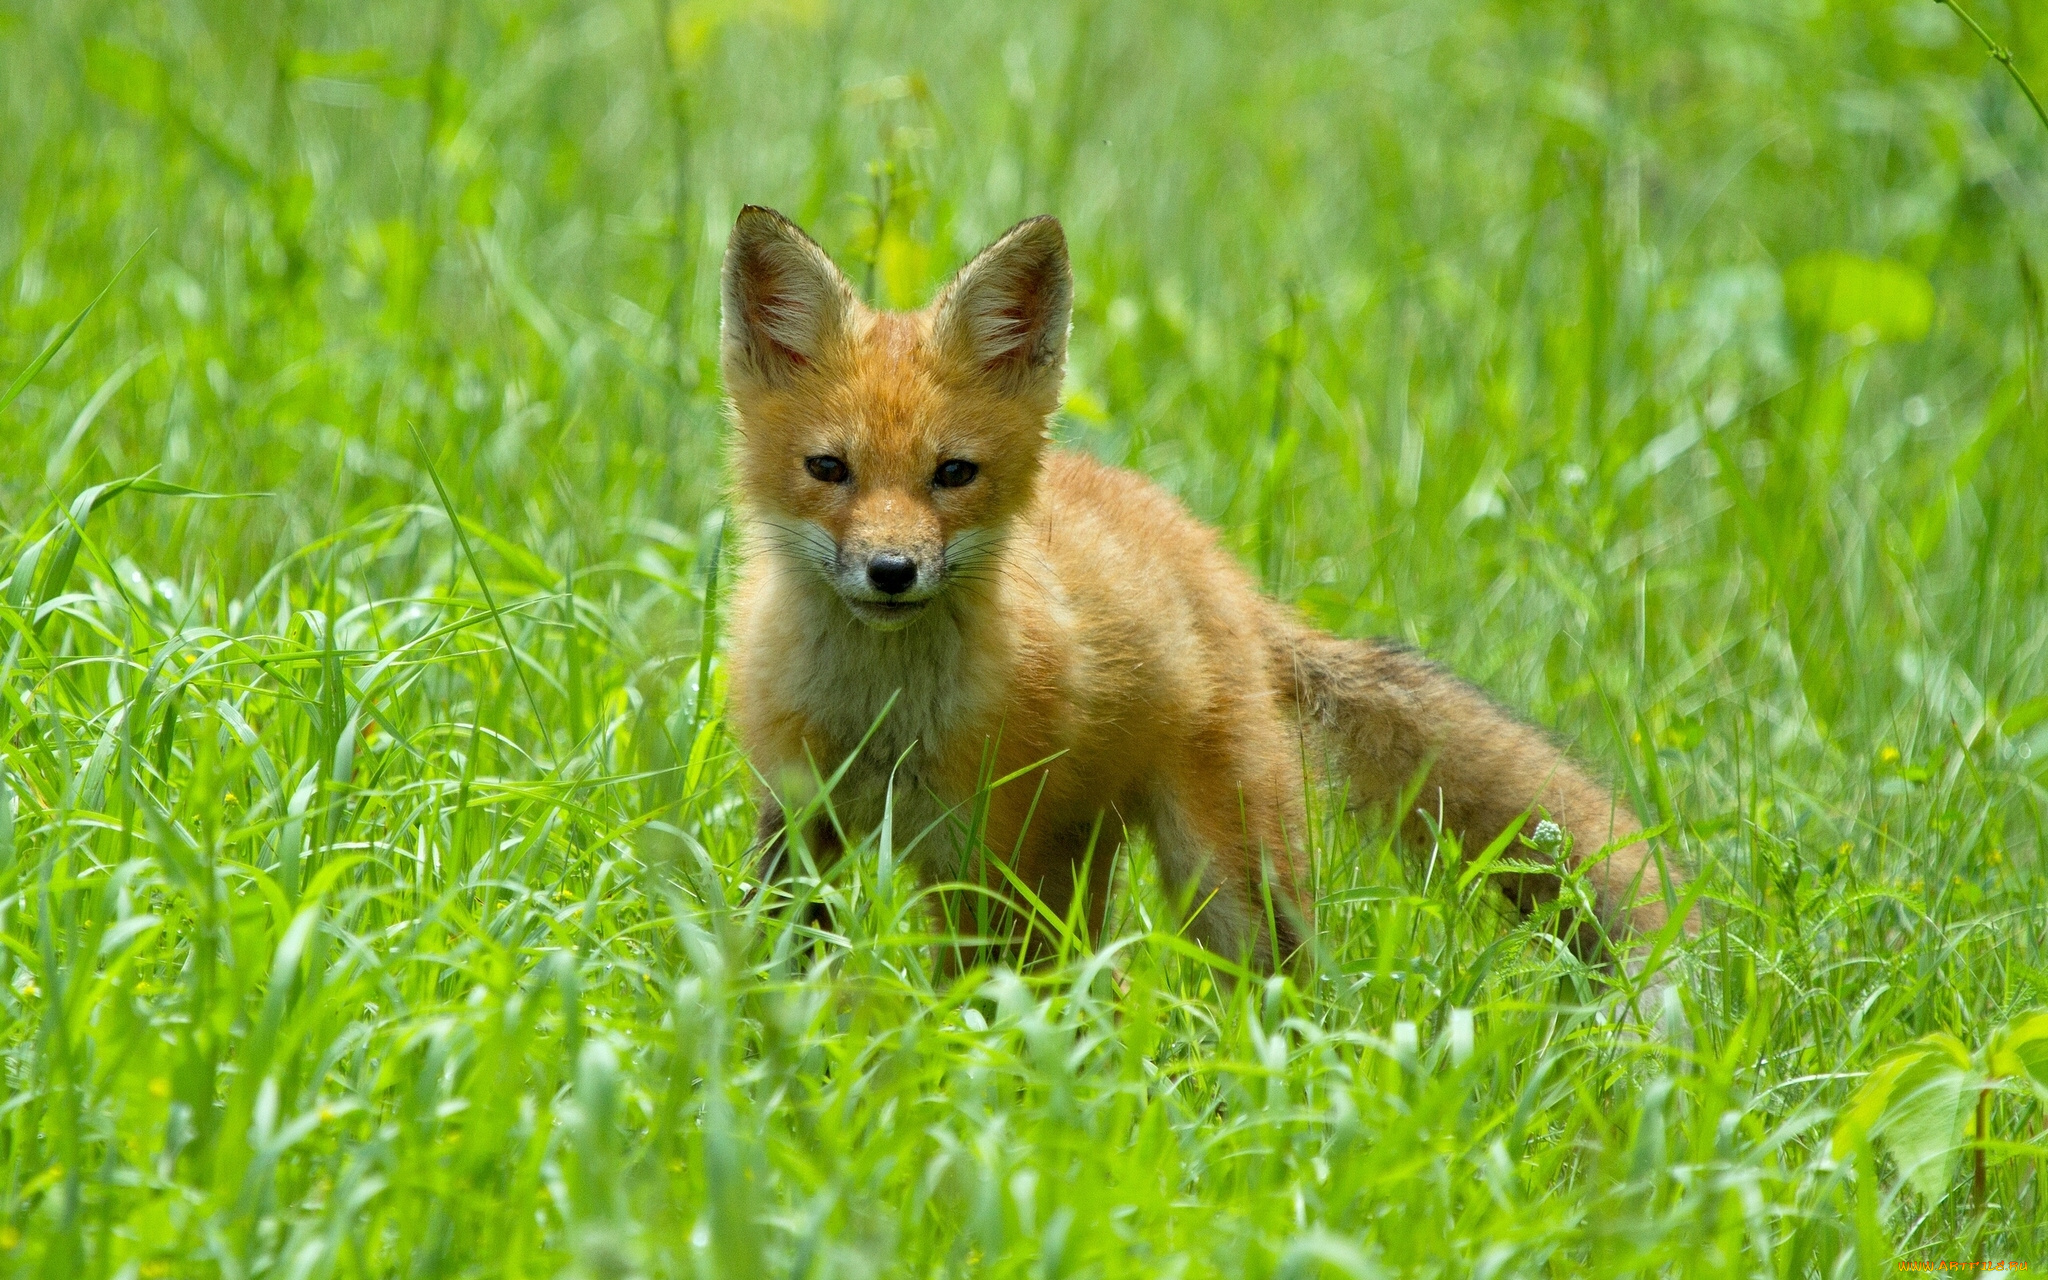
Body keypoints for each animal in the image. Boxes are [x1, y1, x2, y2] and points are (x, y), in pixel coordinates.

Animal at [712, 206, 1687, 966]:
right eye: (828, 469)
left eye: (953, 474)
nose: (891, 572)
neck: (880, 717)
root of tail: (1222, 569)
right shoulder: (794, 821)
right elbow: (776, 963)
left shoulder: (981, 852)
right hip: (1086, 855)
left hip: (1228, 877)